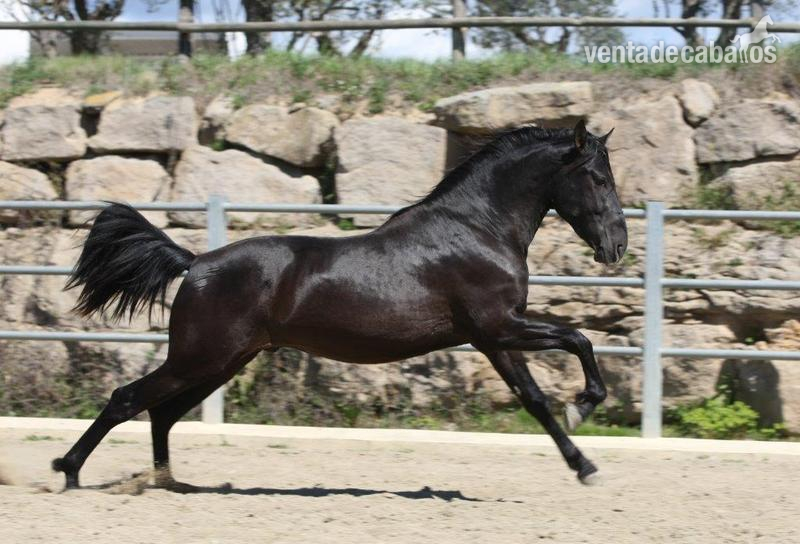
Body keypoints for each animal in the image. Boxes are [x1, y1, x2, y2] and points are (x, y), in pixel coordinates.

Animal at [52, 119, 627, 490]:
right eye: (598, 178)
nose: (617, 247)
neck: (476, 229)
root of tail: (195, 263)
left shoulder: (493, 338)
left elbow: (536, 400)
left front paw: (584, 464)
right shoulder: (500, 327)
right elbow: (579, 338)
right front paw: (586, 404)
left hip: (223, 361)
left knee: (161, 412)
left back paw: (167, 482)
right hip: (200, 357)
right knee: (128, 399)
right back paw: (69, 470)